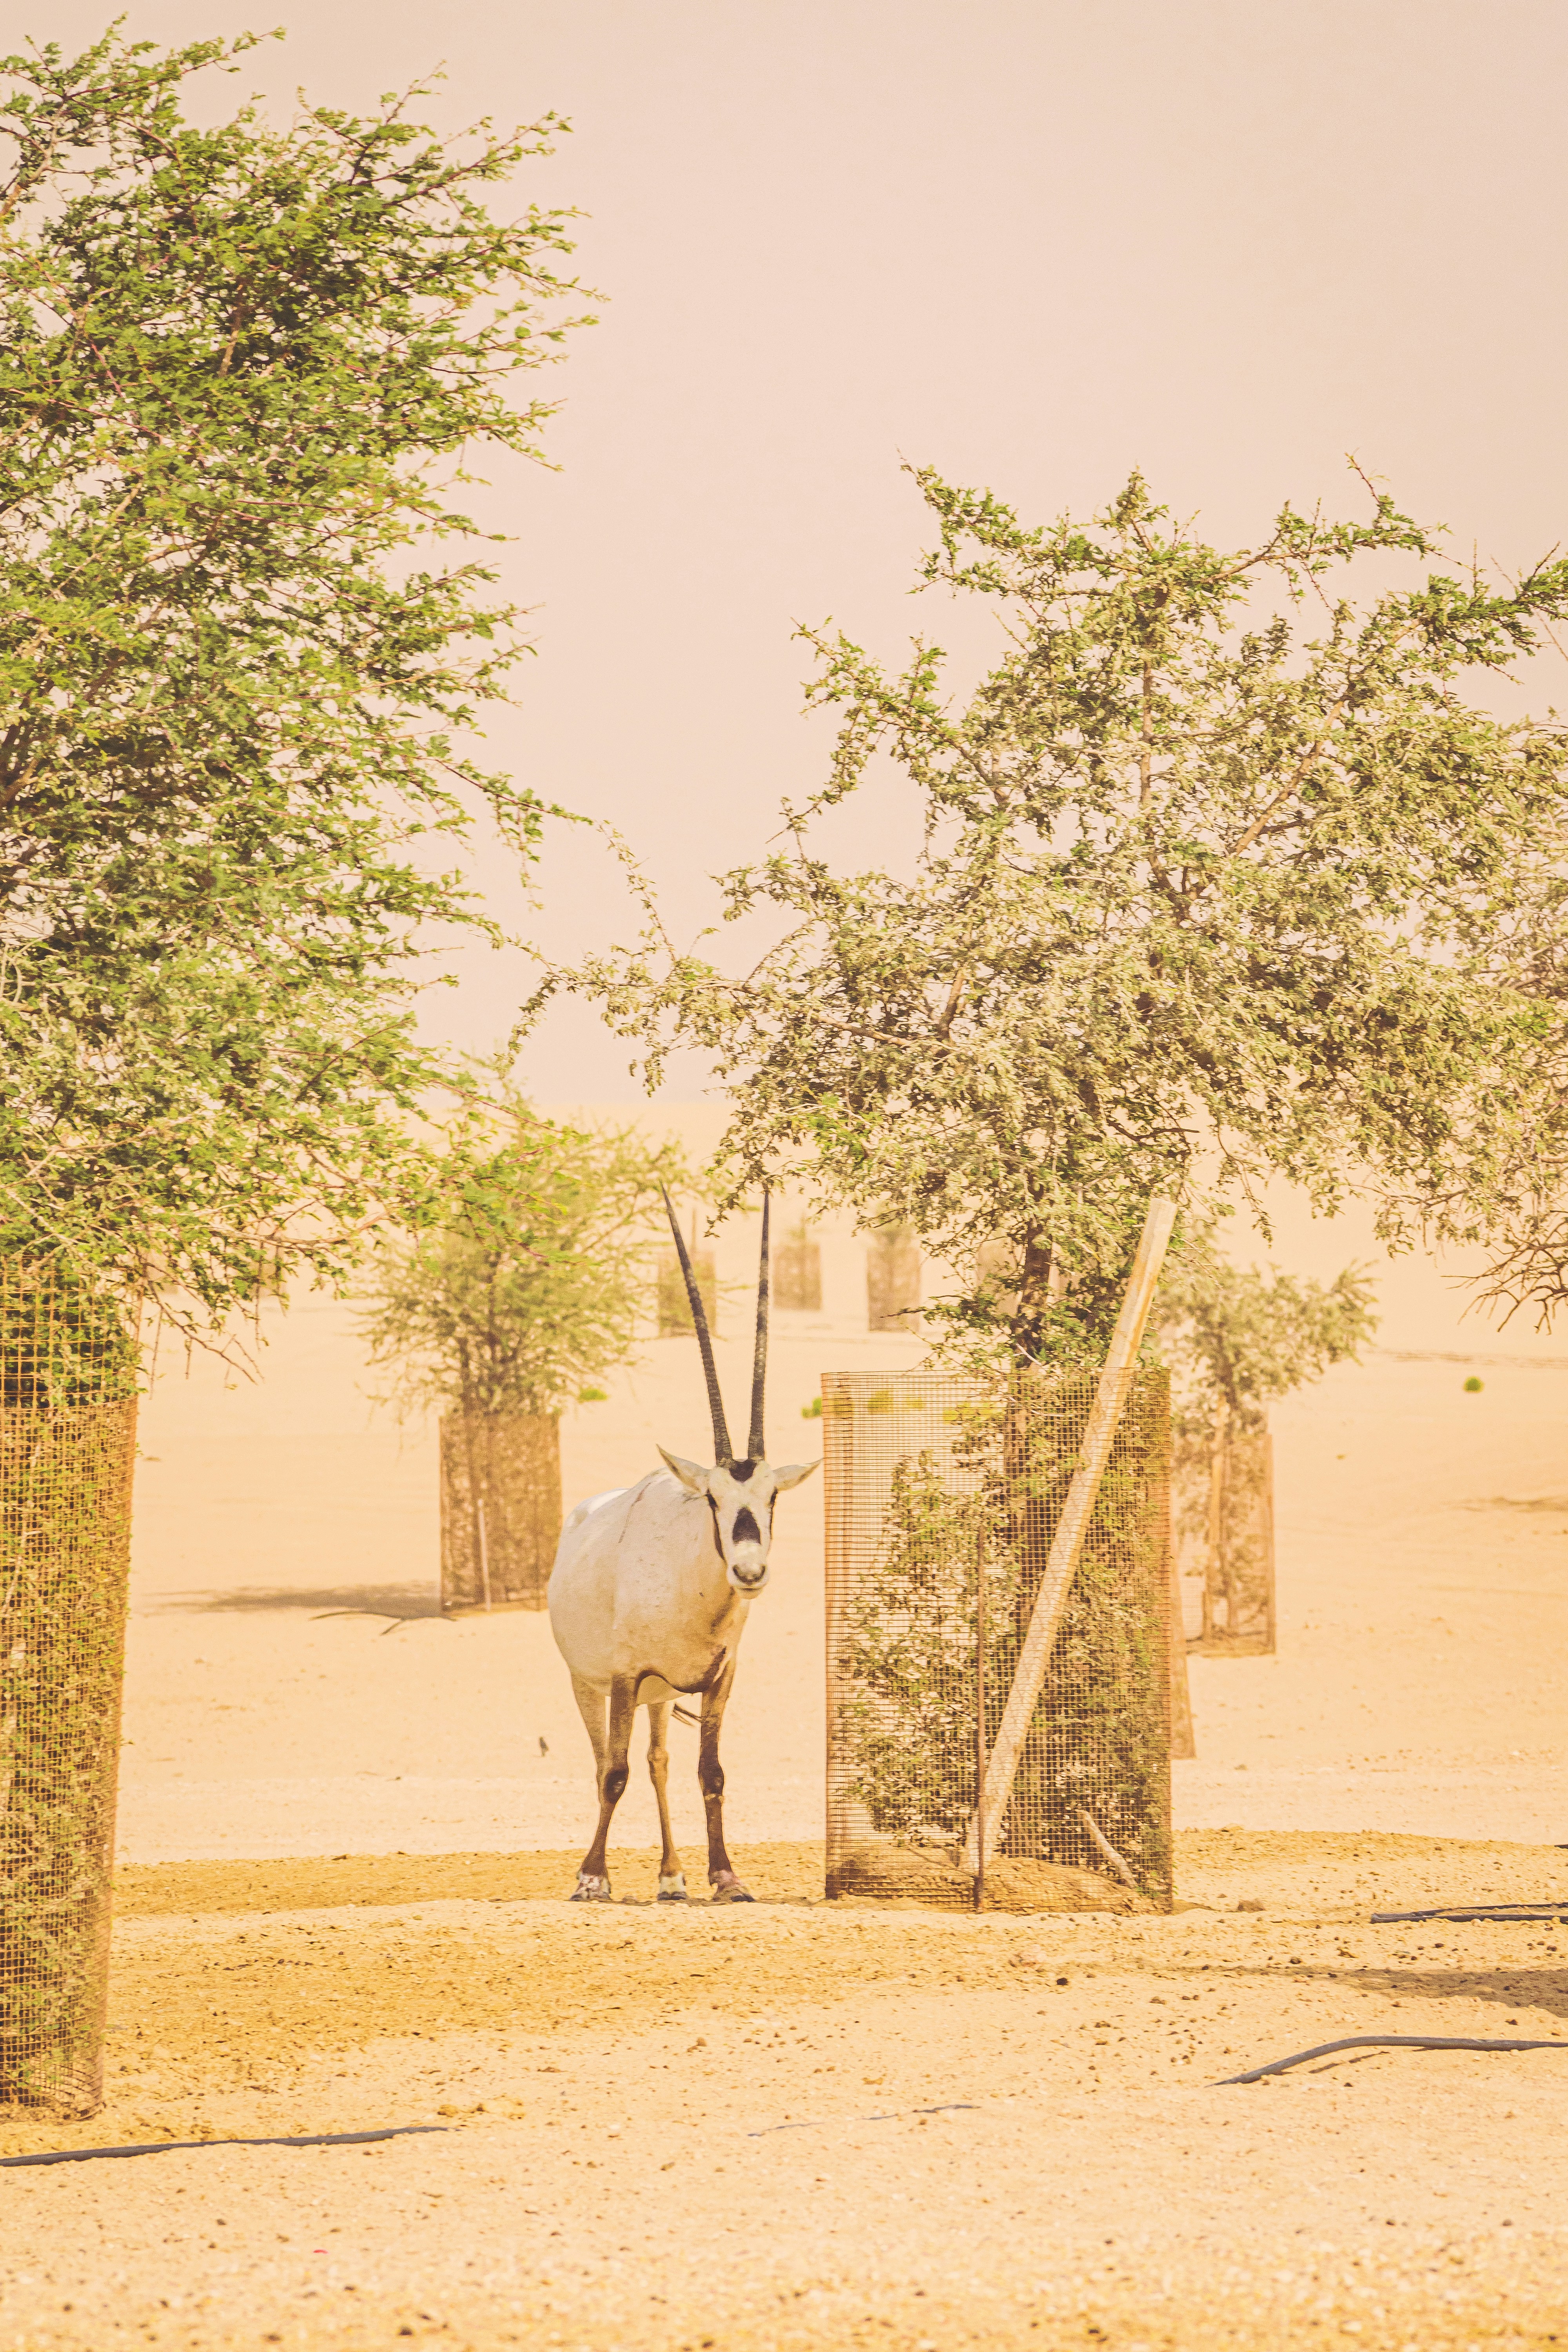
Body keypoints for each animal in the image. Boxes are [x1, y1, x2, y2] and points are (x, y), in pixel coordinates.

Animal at [548, 1190, 817, 1903]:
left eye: (771, 1498)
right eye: (715, 1499)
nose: (750, 1571)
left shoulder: (718, 1680)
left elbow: (709, 1772)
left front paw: (726, 1877)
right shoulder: (622, 1676)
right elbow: (613, 1774)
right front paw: (593, 1878)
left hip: (662, 1698)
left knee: (660, 1762)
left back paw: (672, 1876)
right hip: (591, 1686)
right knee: (606, 1765)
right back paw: (608, 1873)